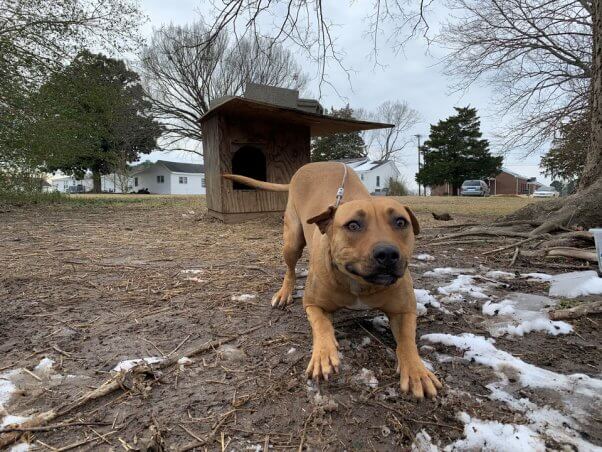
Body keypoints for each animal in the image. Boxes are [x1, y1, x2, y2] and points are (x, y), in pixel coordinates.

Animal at [223, 162, 438, 400]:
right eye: (353, 225)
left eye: (401, 222)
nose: (388, 253)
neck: (357, 282)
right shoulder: (313, 304)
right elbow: (322, 325)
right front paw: (324, 353)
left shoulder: (404, 311)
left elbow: (407, 341)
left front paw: (417, 371)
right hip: (292, 240)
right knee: (290, 268)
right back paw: (284, 293)